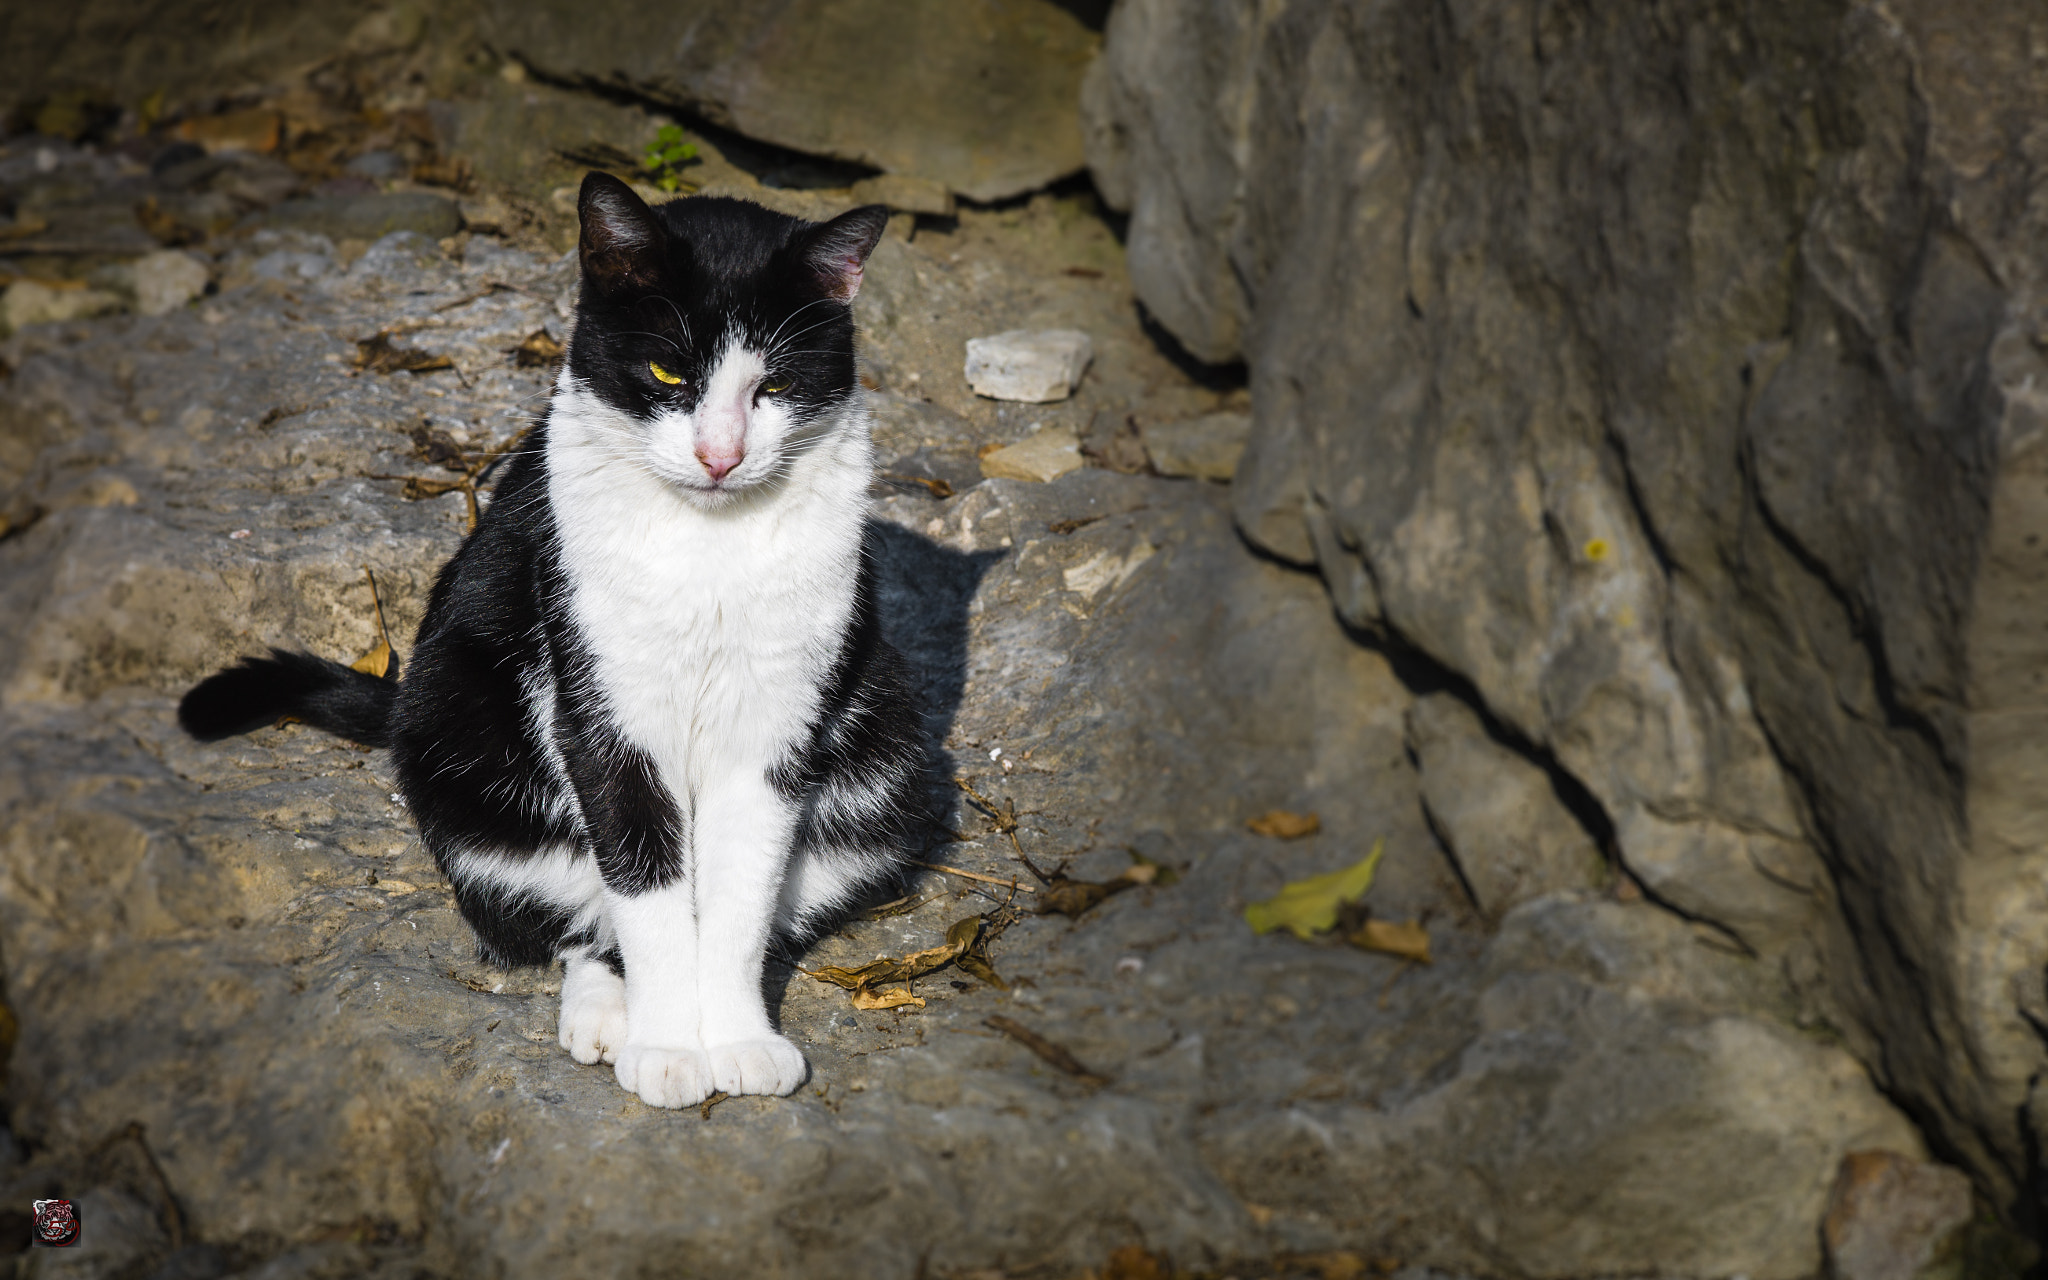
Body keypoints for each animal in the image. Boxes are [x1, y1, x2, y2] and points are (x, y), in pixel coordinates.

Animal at [180, 172, 933, 1105]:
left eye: (775, 386)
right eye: (666, 368)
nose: (719, 456)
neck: (707, 543)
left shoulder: (777, 722)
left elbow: (739, 896)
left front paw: (735, 1038)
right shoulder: (599, 708)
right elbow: (643, 887)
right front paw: (668, 1047)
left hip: (885, 750)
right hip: (459, 729)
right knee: (572, 916)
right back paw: (607, 1014)